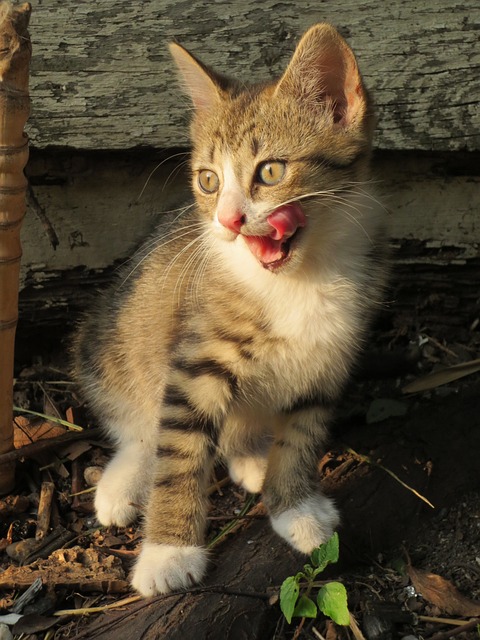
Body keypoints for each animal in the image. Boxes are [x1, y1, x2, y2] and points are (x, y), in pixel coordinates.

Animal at [74, 23, 388, 597]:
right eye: (208, 181)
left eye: (271, 171)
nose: (228, 221)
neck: (301, 279)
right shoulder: (194, 359)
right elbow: (178, 451)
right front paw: (168, 553)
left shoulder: (331, 355)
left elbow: (302, 433)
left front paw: (295, 506)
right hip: (107, 343)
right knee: (139, 423)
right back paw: (123, 484)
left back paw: (253, 458)